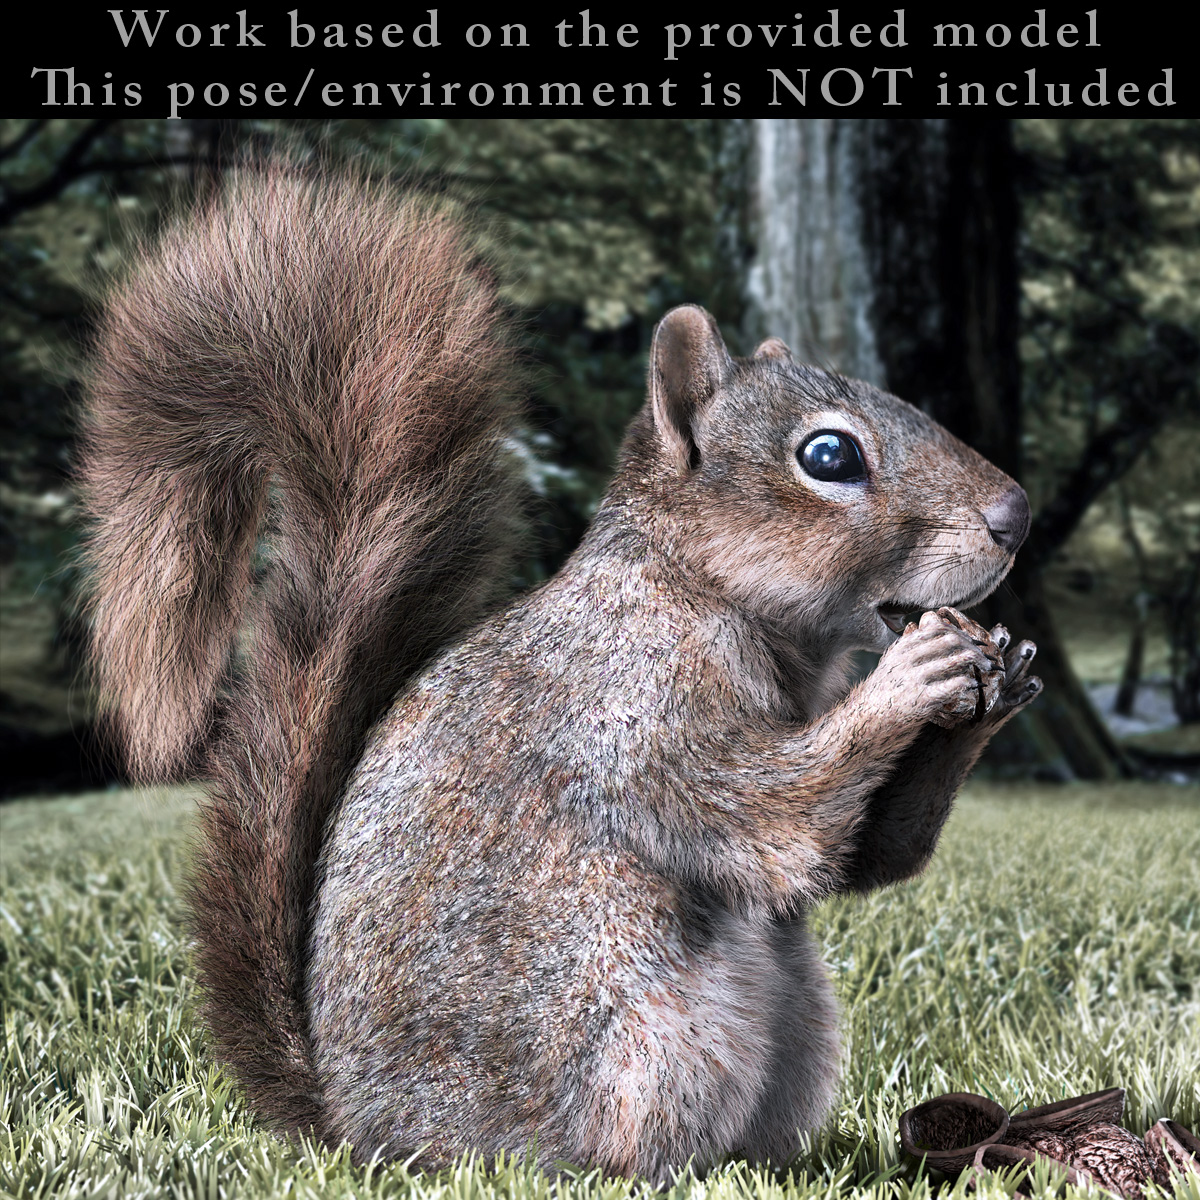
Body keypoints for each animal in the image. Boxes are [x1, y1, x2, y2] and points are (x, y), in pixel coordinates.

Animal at [79, 163, 1042, 1183]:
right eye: (828, 455)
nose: (1016, 514)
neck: (697, 591)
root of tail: (365, 1137)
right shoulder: (633, 706)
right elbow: (774, 821)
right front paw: (911, 677)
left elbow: (862, 857)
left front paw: (993, 693)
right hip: (649, 1038)